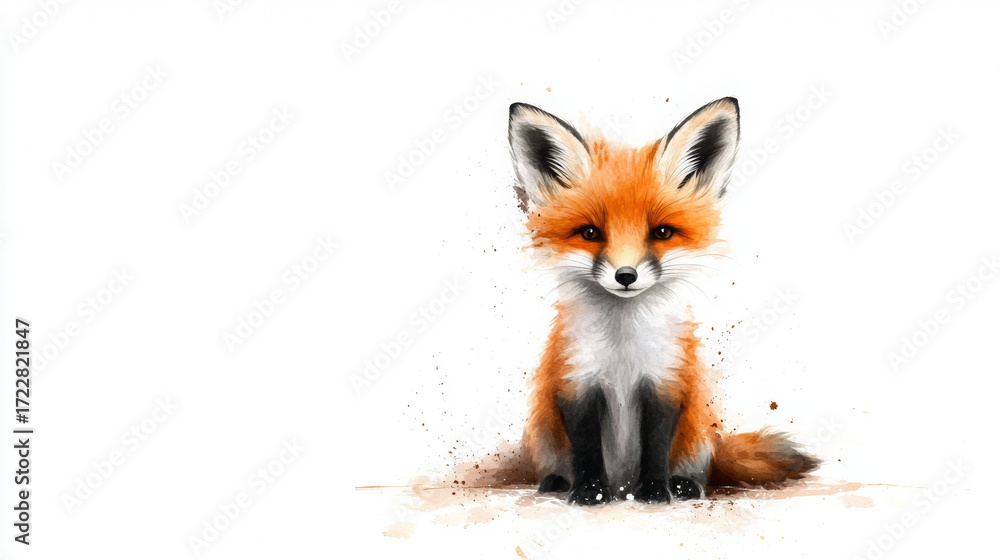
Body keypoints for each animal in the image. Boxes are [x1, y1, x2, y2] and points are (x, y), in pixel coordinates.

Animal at [506, 97, 818, 505]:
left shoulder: (665, 382)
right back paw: (558, 481)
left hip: (696, 435)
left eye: (662, 232)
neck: (623, 350)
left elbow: (656, 445)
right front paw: (590, 491)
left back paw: (684, 485)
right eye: (590, 233)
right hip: (545, 435)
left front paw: (655, 491)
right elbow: (587, 449)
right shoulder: (577, 381)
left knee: (694, 465)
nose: (625, 275)